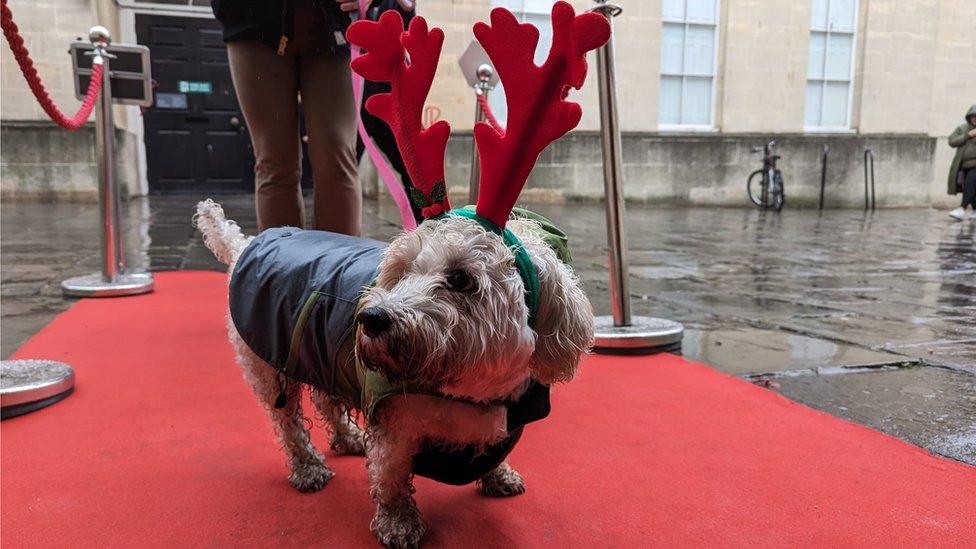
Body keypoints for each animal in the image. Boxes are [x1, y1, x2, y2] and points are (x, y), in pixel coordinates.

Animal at [194, 3, 608, 544]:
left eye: (461, 279)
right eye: (401, 269)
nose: (371, 320)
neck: (467, 391)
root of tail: (245, 243)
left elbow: (497, 451)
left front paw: (498, 475)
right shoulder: (393, 425)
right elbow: (390, 475)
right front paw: (398, 522)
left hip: (318, 351)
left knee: (326, 397)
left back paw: (346, 437)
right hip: (266, 363)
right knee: (287, 420)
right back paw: (307, 467)